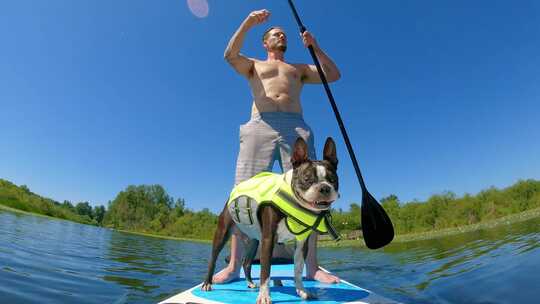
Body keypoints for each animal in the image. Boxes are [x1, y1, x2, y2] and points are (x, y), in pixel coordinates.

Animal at [200, 137, 340, 304]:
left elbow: (298, 270)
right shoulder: (269, 239)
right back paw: (207, 283)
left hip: (254, 242)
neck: (294, 200)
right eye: (307, 179)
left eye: (333, 180)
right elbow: (265, 271)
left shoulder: (301, 244)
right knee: (213, 259)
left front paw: (302, 291)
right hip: (223, 233)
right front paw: (265, 296)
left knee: (247, 262)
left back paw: (250, 283)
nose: (324, 188)